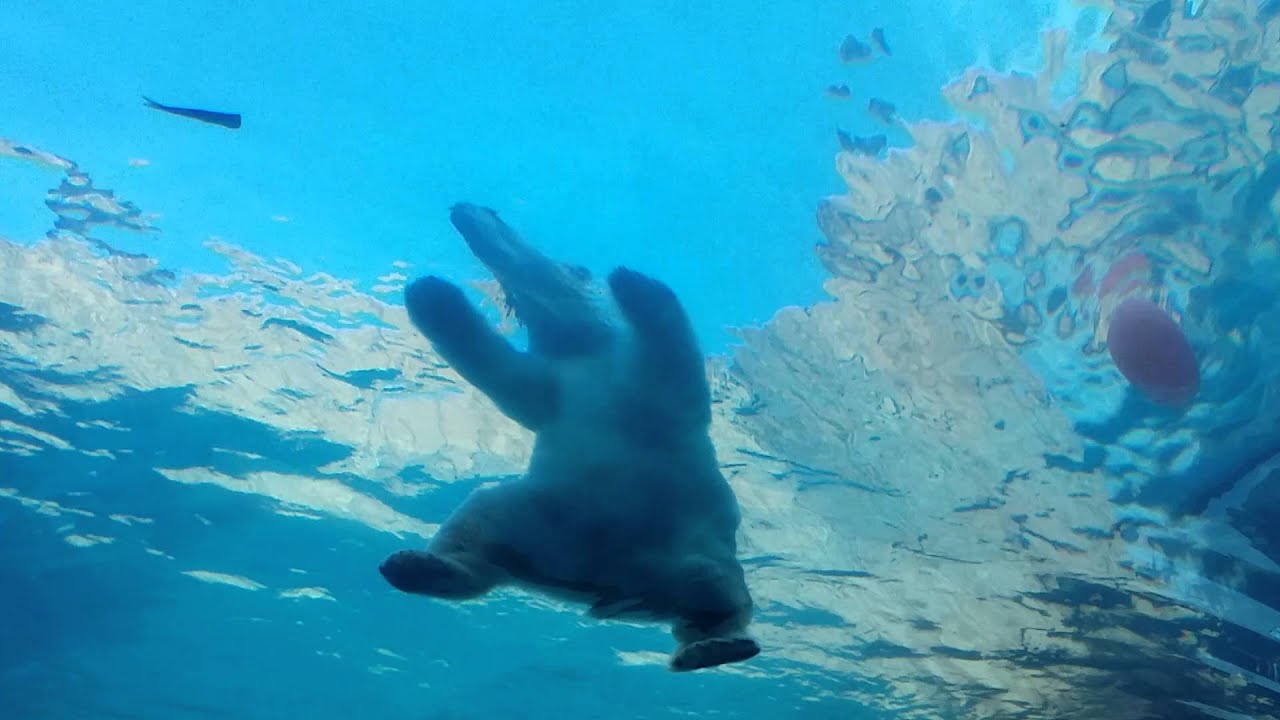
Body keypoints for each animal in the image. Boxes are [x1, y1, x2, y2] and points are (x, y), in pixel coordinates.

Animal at [379, 202, 760, 672]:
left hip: (692, 543)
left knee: (719, 592)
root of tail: (611, 586)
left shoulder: (647, 388)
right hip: (539, 520)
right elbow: (506, 378)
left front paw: (634, 283)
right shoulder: (559, 383)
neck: (592, 353)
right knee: (477, 529)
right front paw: (432, 295)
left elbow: (676, 362)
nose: (465, 213)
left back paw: (716, 646)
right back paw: (416, 566)